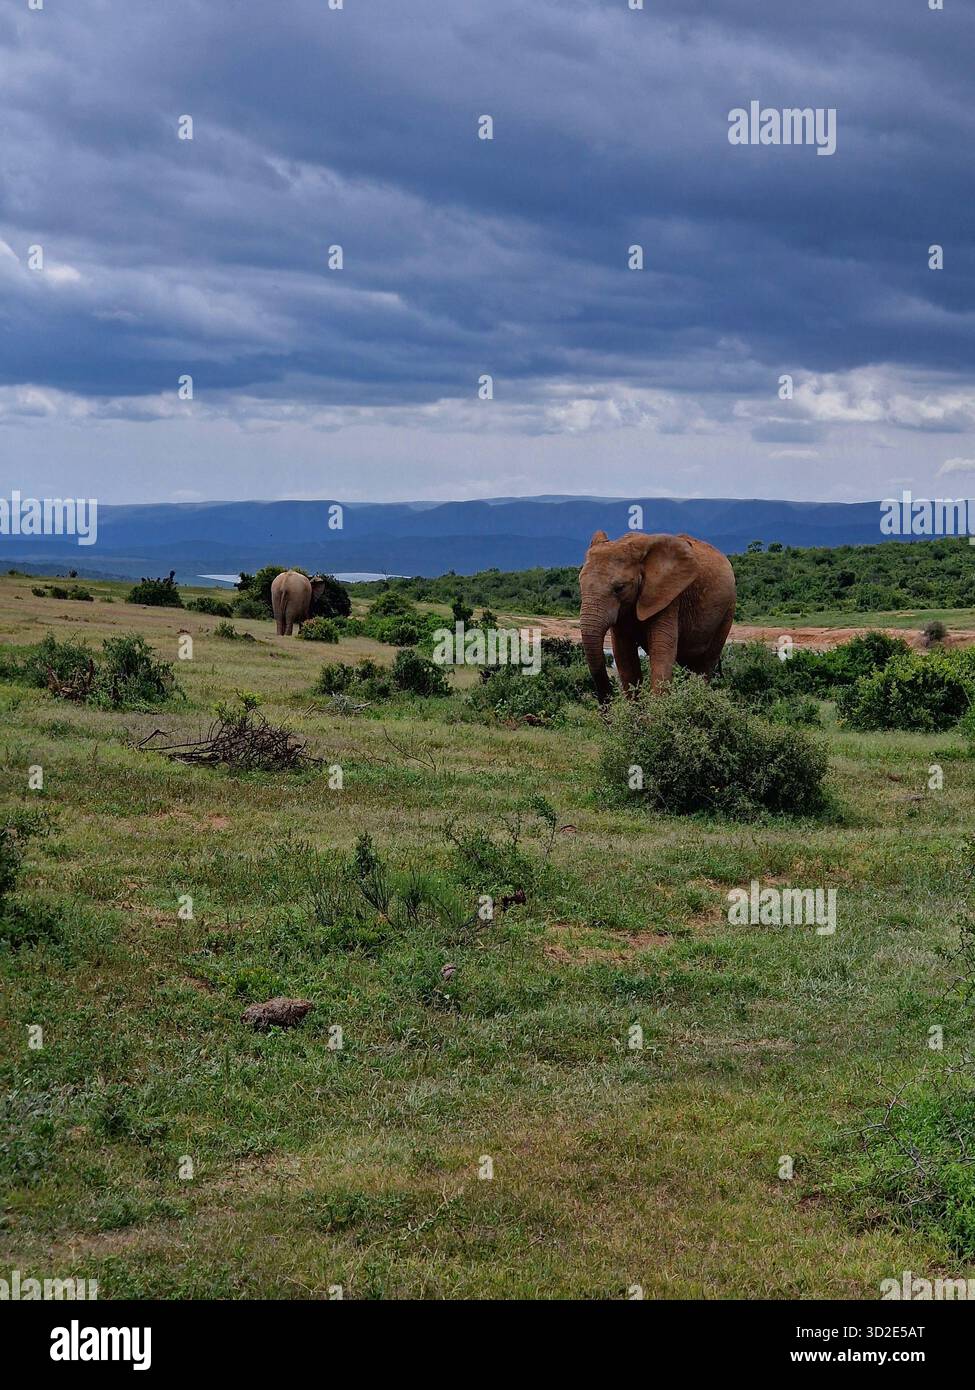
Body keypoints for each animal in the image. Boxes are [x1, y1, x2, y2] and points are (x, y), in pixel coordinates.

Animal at [579, 530, 736, 702]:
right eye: (580, 584)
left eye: (619, 588)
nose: (607, 702)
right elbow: (623, 655)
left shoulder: (669, 596)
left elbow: (661, 652)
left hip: (727, 610)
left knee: (705, 664)